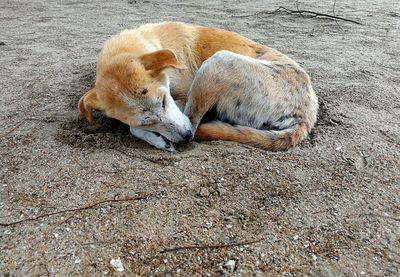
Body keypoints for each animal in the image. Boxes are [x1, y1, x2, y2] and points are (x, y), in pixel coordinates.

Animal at [78, 21, 318, 151]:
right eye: (148, 121)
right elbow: (133, 126)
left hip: (217, 63)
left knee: (195, 123)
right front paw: (157, 138)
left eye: (163, 101)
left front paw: (159, 140)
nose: (184, 138)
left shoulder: (184, 95)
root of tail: (306, 116)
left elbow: (130, 128)